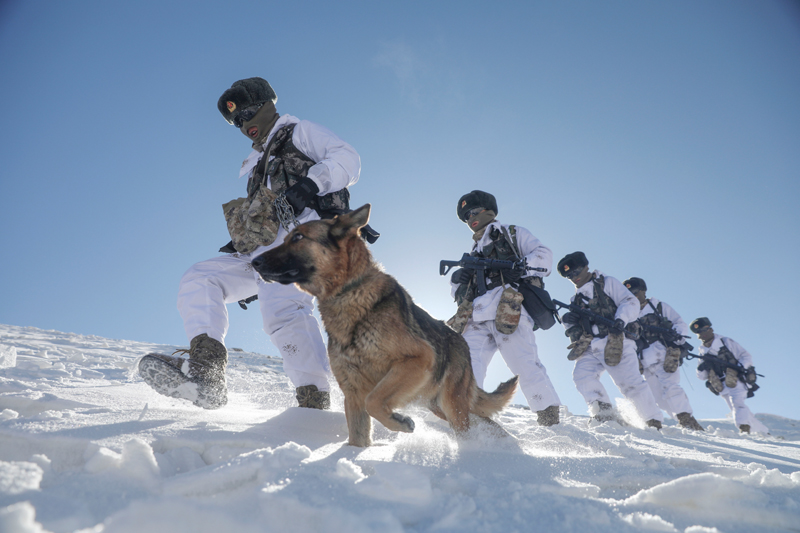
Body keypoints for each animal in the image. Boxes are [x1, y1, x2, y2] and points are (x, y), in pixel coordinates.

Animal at [252, 204, 520, 444]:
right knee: (485, 422)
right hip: (440, 406)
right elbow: (358, 437)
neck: (349, 291)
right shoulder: (352, 394)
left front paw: (400, 422)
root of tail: (462, 342)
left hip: (451, 406)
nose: (254, 262)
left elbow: (374, 401)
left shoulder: (416, 359)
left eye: (298, 237)